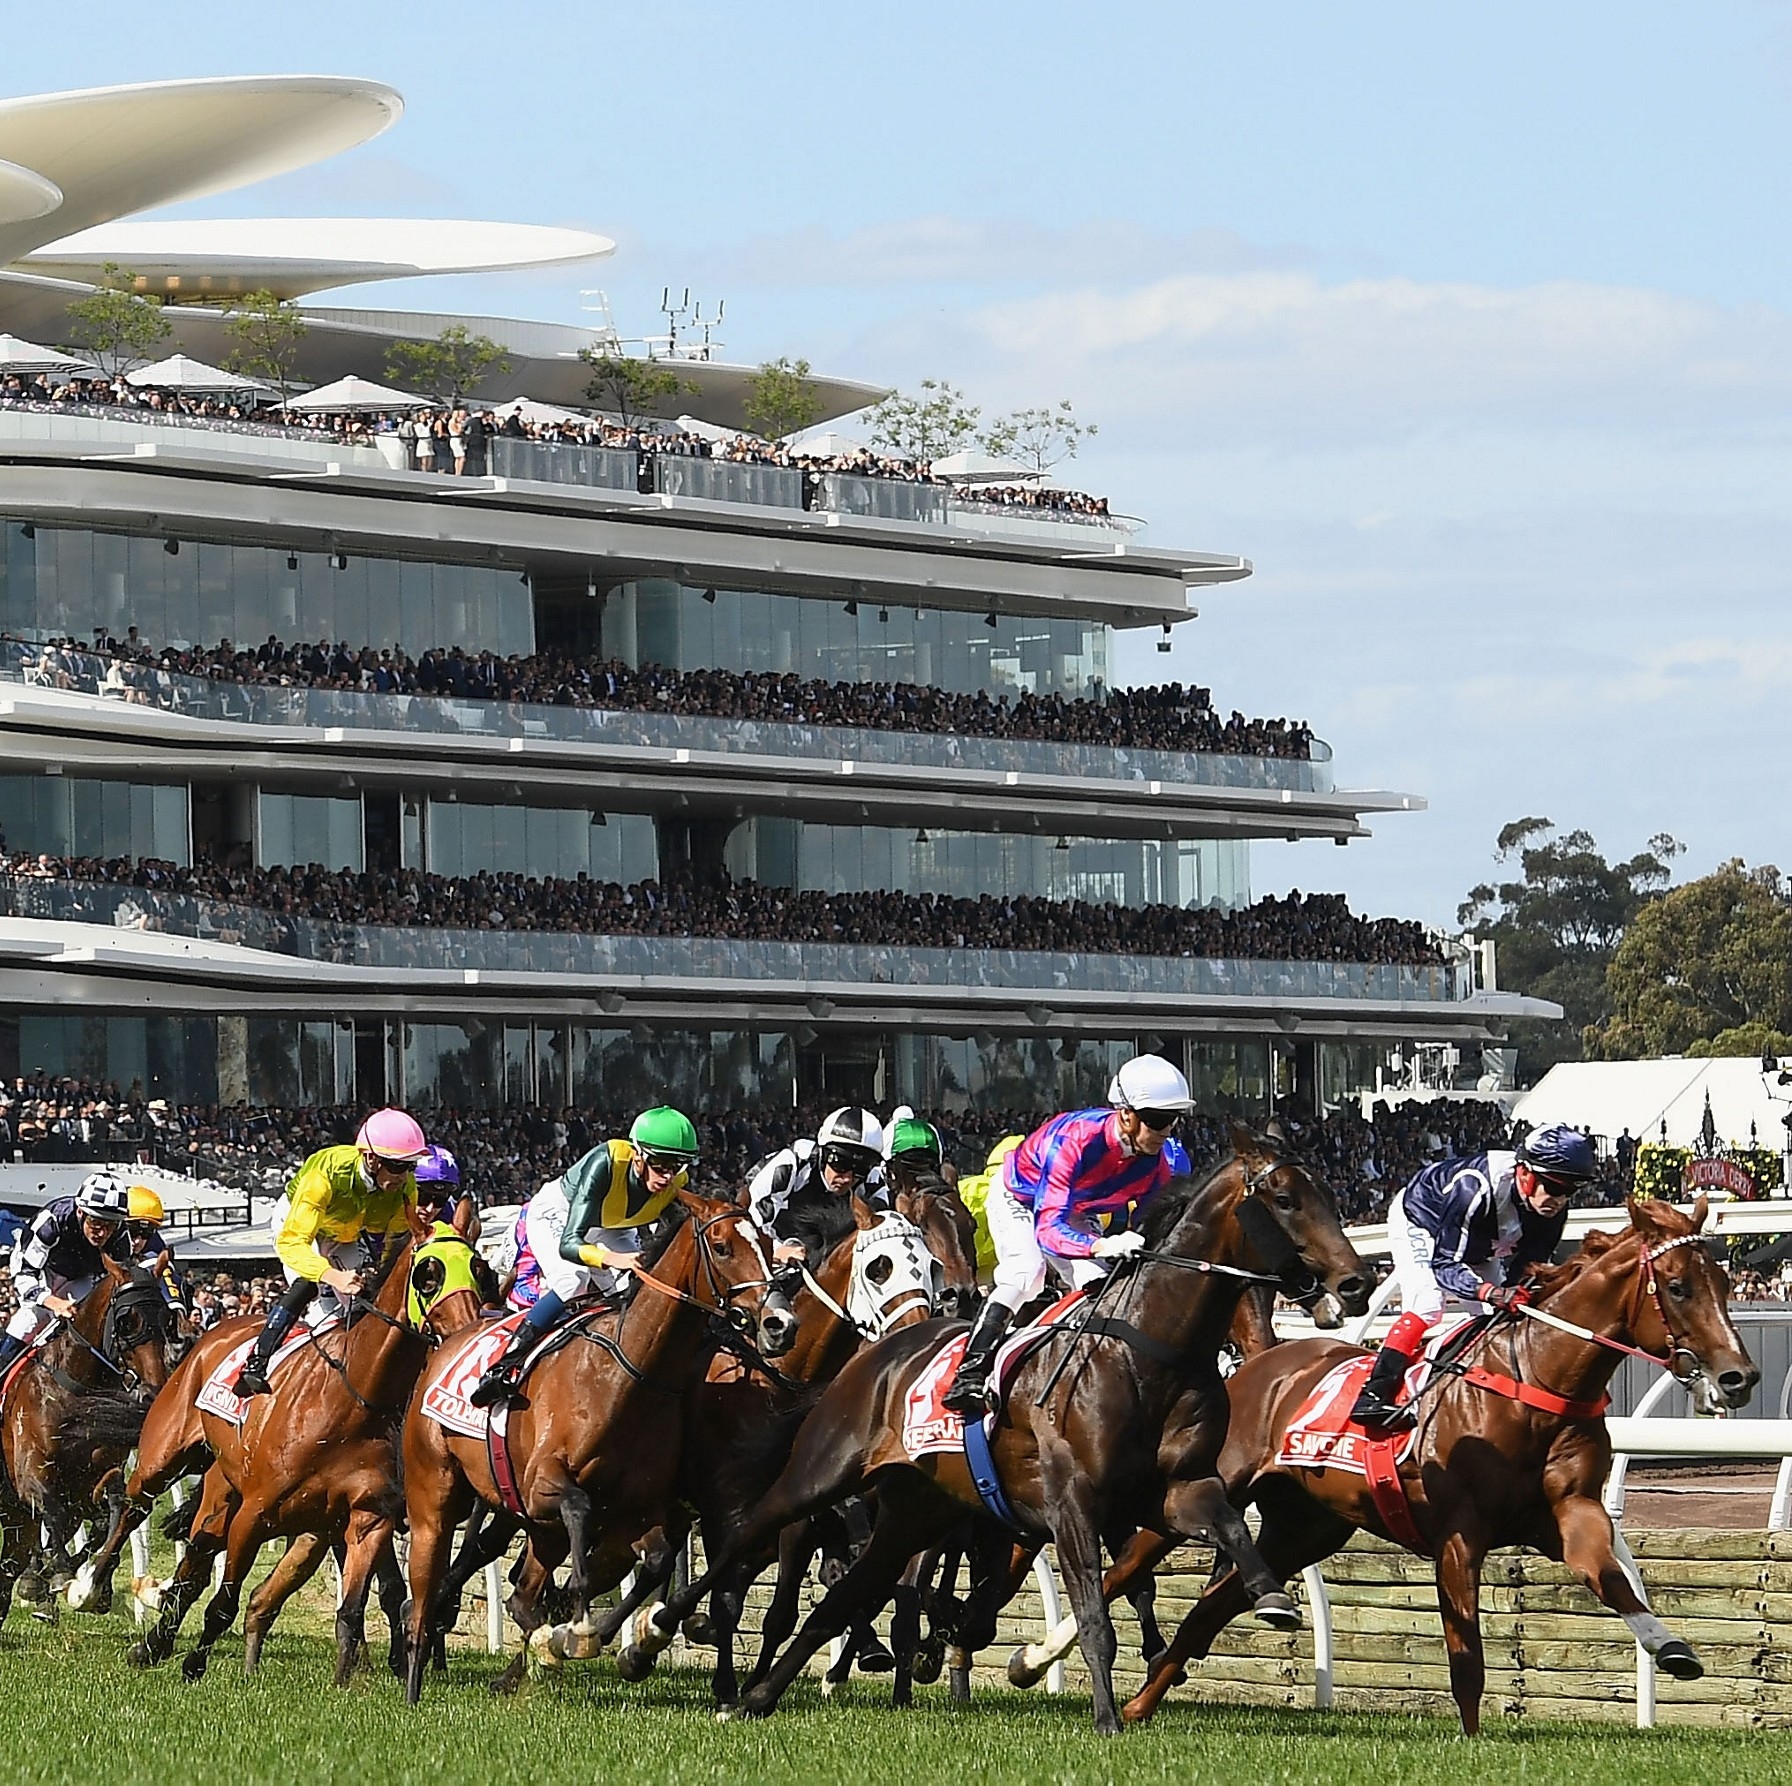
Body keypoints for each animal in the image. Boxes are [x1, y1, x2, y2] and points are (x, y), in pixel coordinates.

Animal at [0, 1253, 173, 1633]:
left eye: (166, 1319)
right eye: (127, 1321)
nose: (153, 1393)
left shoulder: (95, 1479)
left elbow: (106, 1517)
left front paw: (90, 1586)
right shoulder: (30, 1475)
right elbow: (55, 1512)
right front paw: (58, 1576)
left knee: (11, 1562)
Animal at [406, 1182, 799, 1698]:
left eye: (769, 1247)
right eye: (722, 1247)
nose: (780, 1324)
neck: (630, 1373)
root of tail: (448, 1341)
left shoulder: (645, 1508)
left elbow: (659, 1563)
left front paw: (627, 1639)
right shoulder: (543, 1485)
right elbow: (580, 1513)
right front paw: (581, 1629)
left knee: (522, 1587)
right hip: (450, 1482)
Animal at [623, 1132, 1361, 1726]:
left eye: (1327, 1194)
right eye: (1287, 1200)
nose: (1354, 1283)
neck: (1146, 1351)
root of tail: (876, 1357)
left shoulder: (1174, 1488)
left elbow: (1225, 1530)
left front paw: (1272, 1598)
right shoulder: (1070, 1503)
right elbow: (1092, 1614)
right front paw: (1104, 1720)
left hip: (914, 1510)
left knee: (850, 1592)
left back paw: (759, 1695)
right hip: (817, 1479)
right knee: (745, 1543)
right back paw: (647, 1636)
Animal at [1125, 1189, 1756, 1734]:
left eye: (1724, 1283)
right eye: (1677, 1287)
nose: (1739, 1377)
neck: (1535, 1380)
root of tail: (1257, 1364)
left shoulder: (1570, 1512)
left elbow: (1611, 1577)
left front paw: (1670, 1646)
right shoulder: (1458, 1534)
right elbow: (1466, 1658)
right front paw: (1472, 1743)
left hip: (1302, 1529)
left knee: (1210, 1609)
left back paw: (1139, 1704)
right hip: (1202, 1492)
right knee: (1130, 1564)